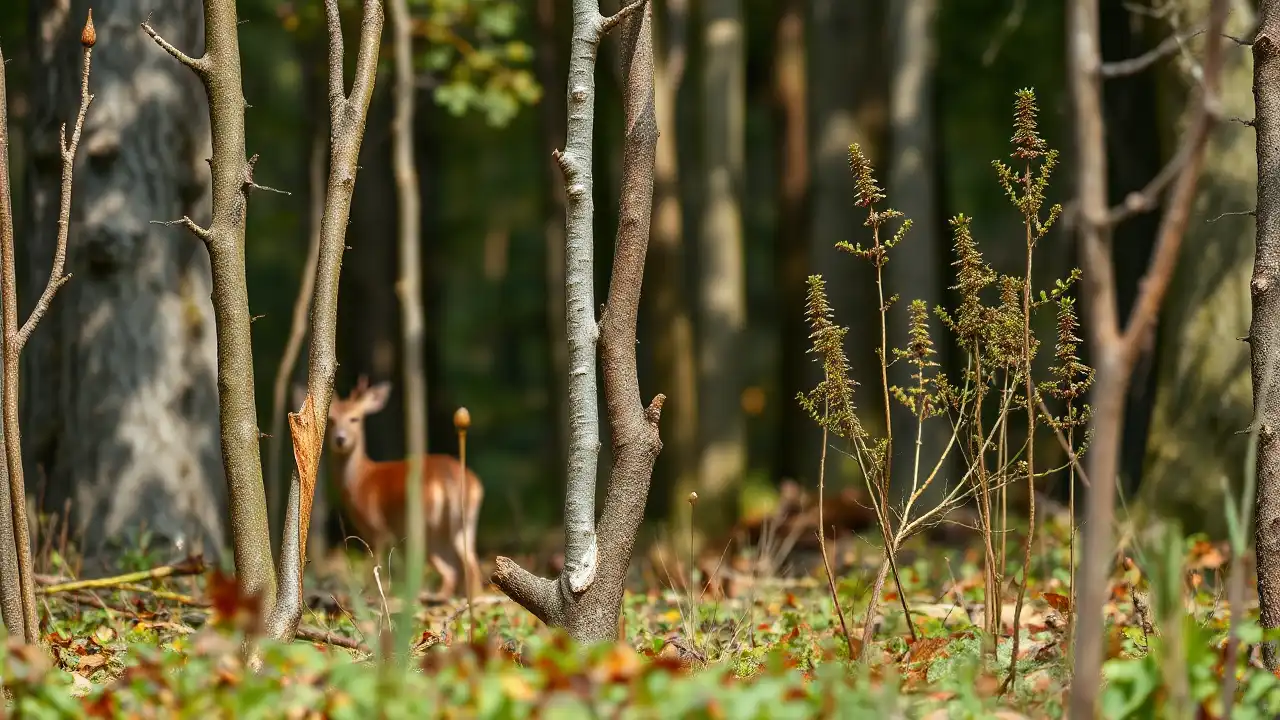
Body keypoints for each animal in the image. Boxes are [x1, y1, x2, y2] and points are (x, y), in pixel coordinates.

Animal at [302, 377, 484, 599]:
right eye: (332, 420)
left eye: (355, 418)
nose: (340, 439)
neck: (361, 479)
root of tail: (450, 477)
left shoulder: (376, 526)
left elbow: (374, 562)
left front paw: (370, 593)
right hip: (464, 521)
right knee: (466, 563)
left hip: (421, 519)